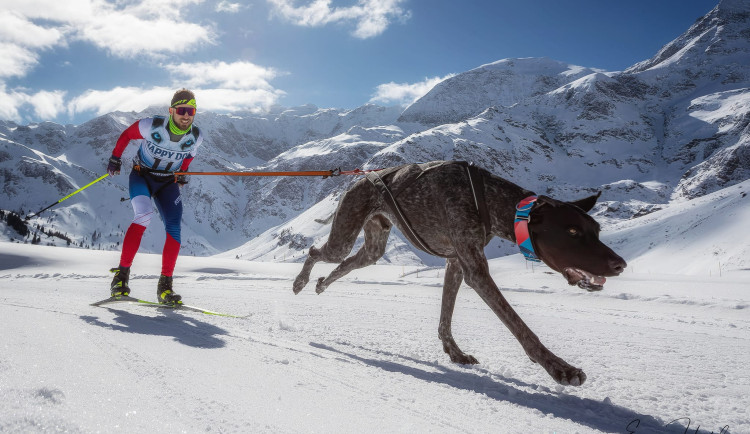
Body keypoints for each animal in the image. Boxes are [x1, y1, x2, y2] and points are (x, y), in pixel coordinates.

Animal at [296, 161, 628, 384]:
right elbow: (520, 326)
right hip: (343, 237)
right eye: (572, 231)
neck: (490, 200)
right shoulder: (476, 270)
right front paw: (559, 367)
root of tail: (359, 180)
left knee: (344, 264)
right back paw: (301, 281)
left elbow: (446, 315)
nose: (620, 264)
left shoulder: (456, 263)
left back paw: (321, 283)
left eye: (597, 230)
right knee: (315, 252)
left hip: (372, 249)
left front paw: (453, 352)